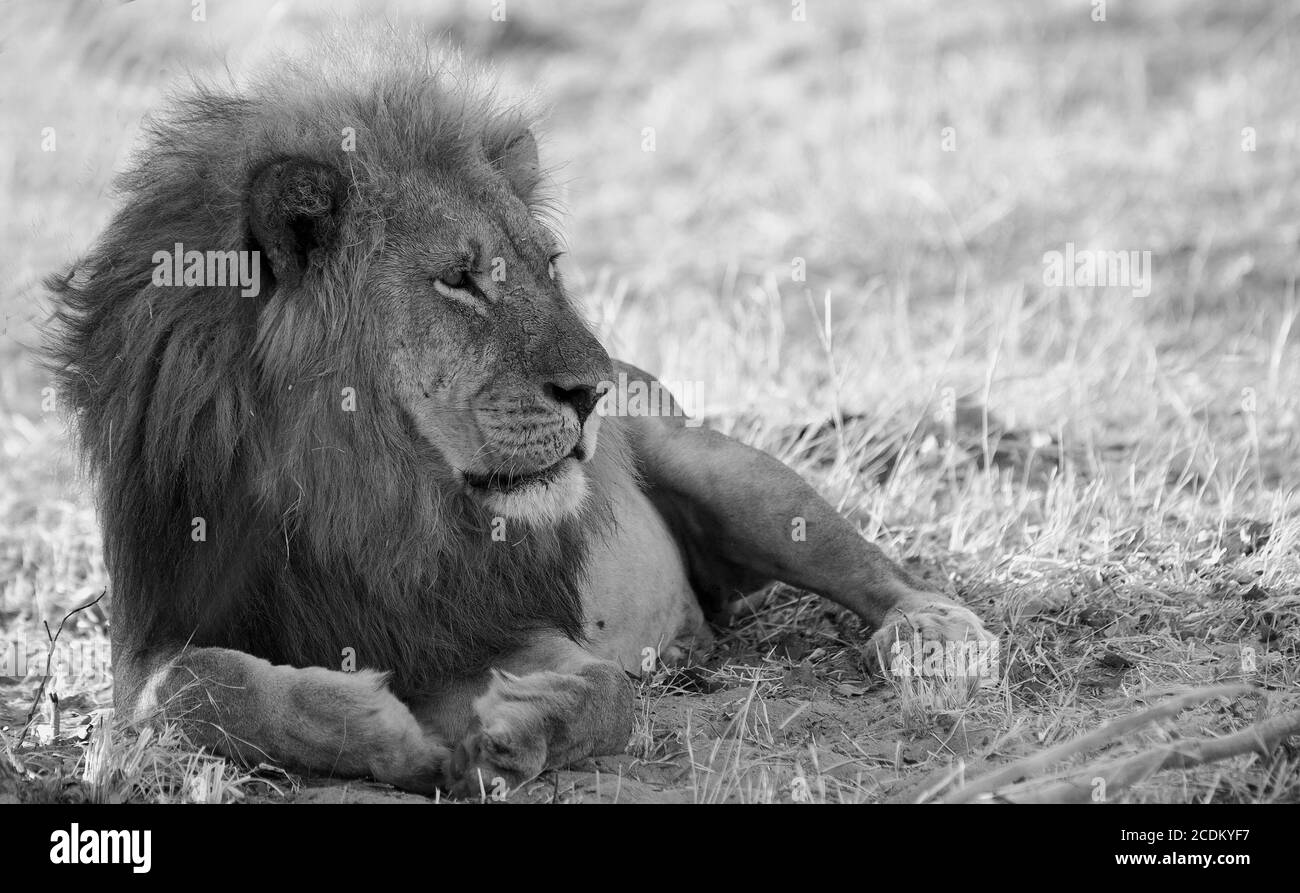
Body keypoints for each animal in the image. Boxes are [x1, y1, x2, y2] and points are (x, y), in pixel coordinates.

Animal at [45, 39, 994, 797]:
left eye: (549, 266)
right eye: (460, 279)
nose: (592, 391)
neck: (363, 491)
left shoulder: (495, 615)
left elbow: (607, 692)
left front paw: (514, 729)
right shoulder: (153, 625)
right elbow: (199, 687)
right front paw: (376, 726)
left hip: (730, 471)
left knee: (869, 563)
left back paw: (933, 633)